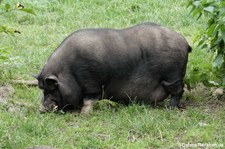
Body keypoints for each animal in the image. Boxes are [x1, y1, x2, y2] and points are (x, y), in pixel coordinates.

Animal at [34, 21, 191, 113]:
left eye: (51, 89)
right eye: (42, 89)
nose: (42, 109)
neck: (69, 72)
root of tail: (184, 41)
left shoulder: (92, 82)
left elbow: (89, 100)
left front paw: (84, 114)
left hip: (173, 76)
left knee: (178, 91)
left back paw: (170, 108)